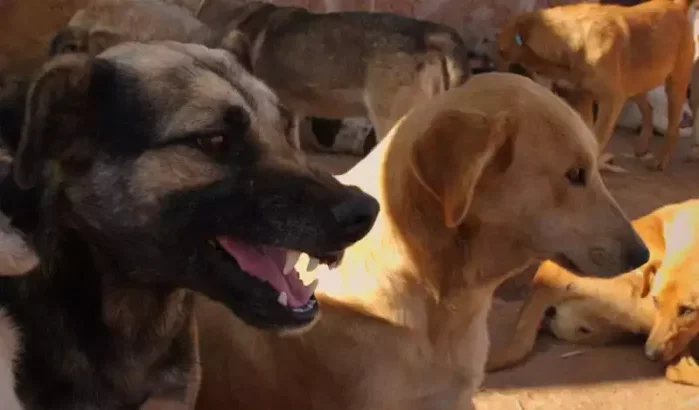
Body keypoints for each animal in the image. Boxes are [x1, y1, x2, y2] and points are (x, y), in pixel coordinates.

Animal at [498, 0, 696, 171]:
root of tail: (677, 5)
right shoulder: (584, 98)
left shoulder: (611, 101)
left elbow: (598, 137)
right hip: (636, 83)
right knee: (648, 109)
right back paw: (642, 145)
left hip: (674, 86)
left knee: (673, 128)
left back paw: (661, 160)